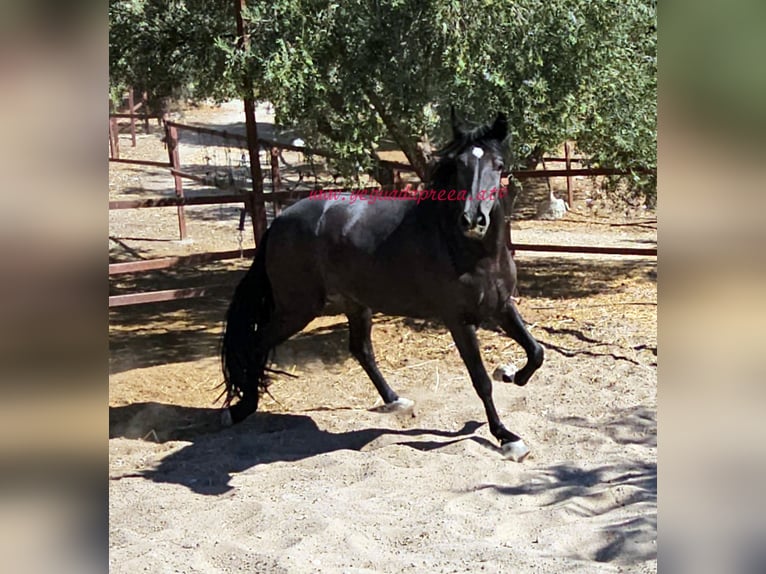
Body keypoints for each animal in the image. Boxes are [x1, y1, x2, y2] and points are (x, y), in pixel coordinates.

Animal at [222, 111, 544, 464]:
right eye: (460, 165)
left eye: (498, 165)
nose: (473, 220)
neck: (470, 251)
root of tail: (280, 221)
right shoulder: (458, 320)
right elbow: (481, 380)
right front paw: (507, 438)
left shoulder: (501, 306)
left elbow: (536, 352)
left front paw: (512, 376)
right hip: (297, 309)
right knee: (257, 344)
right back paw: (241, 409)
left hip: (354, 303)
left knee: (360, 350)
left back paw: (396, 401)